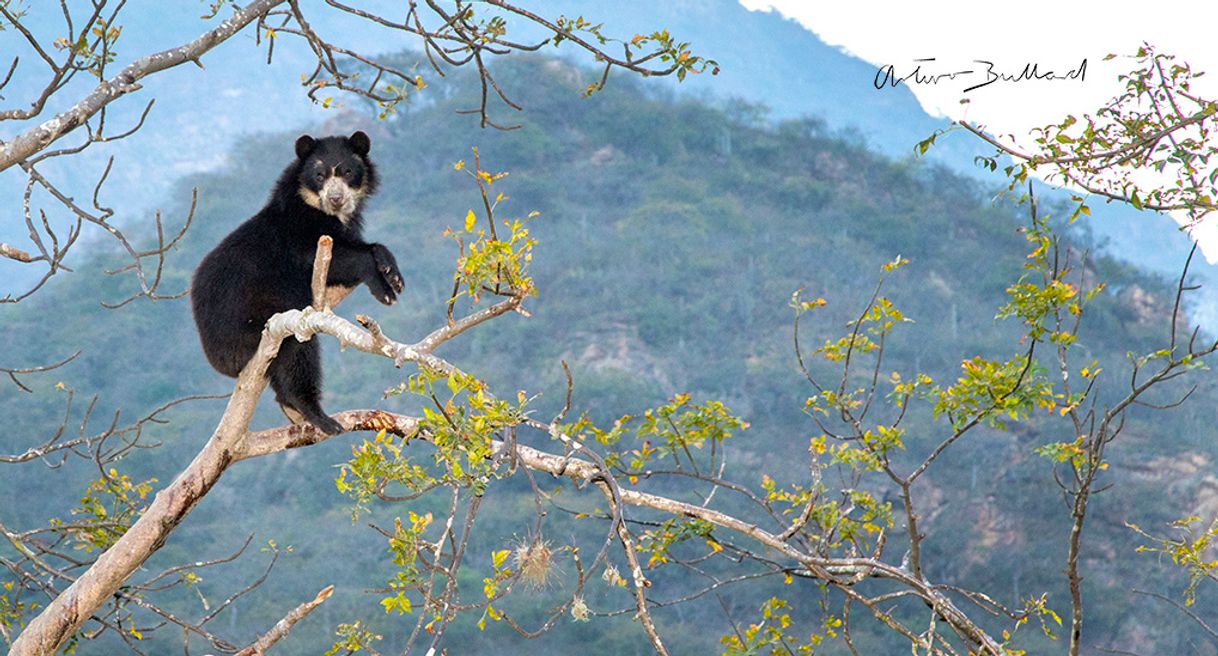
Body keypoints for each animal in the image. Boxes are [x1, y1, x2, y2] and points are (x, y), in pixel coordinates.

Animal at [187, 131, 401, 435]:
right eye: (320, 174)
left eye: (348, 171)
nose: (336, 198)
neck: (317, 208)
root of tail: (216, 358)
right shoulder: (298, 233)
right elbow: (333, 258)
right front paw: (386, 287)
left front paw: (392, 275)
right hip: (257, 324)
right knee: (297, 355)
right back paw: (317, 415)